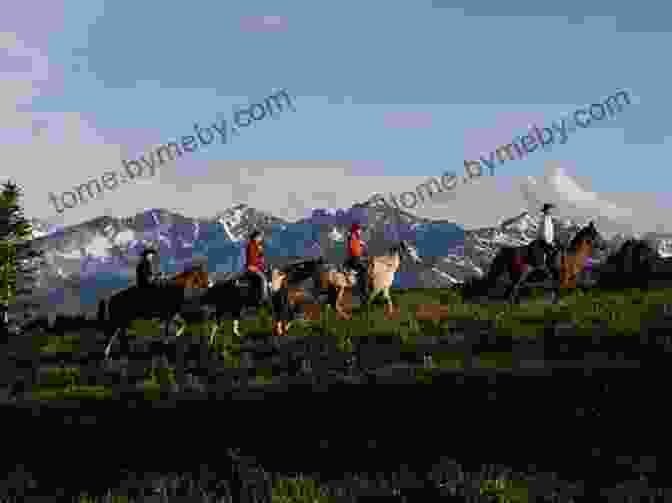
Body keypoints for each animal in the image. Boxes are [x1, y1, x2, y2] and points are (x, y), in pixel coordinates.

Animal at [472, 222, 608, 306]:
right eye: (596, 234)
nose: (604, 245)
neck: (572, 256)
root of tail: (509, 250)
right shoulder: (564, 278)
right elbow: (559, 293)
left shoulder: (564, 279)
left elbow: (560, 291)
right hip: (519, 275)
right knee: (512, 290)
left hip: (516, 275)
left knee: (512, 290)